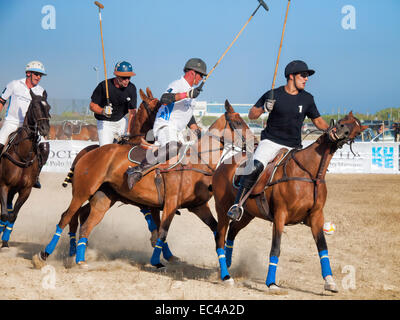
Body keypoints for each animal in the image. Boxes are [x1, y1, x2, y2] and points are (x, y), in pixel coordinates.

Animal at [0, 89, 51, 248]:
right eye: (34, 106)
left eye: (49, 107)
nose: (45, 129)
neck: (23, 155)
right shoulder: (3, 185)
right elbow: (4, 215)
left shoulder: (25, 190)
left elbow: (13, 216)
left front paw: (5, 240)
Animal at [33, 101, 253, 268]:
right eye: (237, 122)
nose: (254, 142)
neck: (197, 161)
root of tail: (90, 152)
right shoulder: (170, 204)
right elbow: (162, 232)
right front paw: (157, 261)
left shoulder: (198, 206)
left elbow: (217, 230)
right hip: (82, 191)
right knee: (66, 217)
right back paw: (44, 255)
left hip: (103, 198)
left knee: (85, 224)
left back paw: (79, 259)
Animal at [212, 112, 366, 292]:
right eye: (342, 121)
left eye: (356, 131)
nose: (339, 132)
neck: (309, 172)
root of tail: (223, 163)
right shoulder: (280, 215)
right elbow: (276, 248)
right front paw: (271, 283)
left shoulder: (316, 216)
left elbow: (323, 247)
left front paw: (330, 281)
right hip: (222, 209)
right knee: (220, 238)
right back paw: (226, 276)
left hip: (248, 213)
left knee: (232, 232)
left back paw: (228, 264)